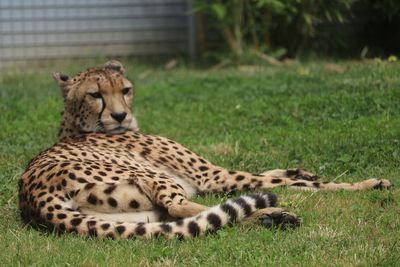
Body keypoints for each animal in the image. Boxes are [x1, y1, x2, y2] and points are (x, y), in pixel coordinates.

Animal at [18, 61, 394, 241]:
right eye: (95, 95)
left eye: (124, 90)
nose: (120, 115)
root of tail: (33, 195)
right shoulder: (210, 176)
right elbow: (305, 185)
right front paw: (368, 184)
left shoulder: (215, 172)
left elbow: (273, 173)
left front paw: (297, 169)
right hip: (149, 175)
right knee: (187, 209)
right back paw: (271, 213)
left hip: (132, 216)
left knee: (179, 217)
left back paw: (270, 217)